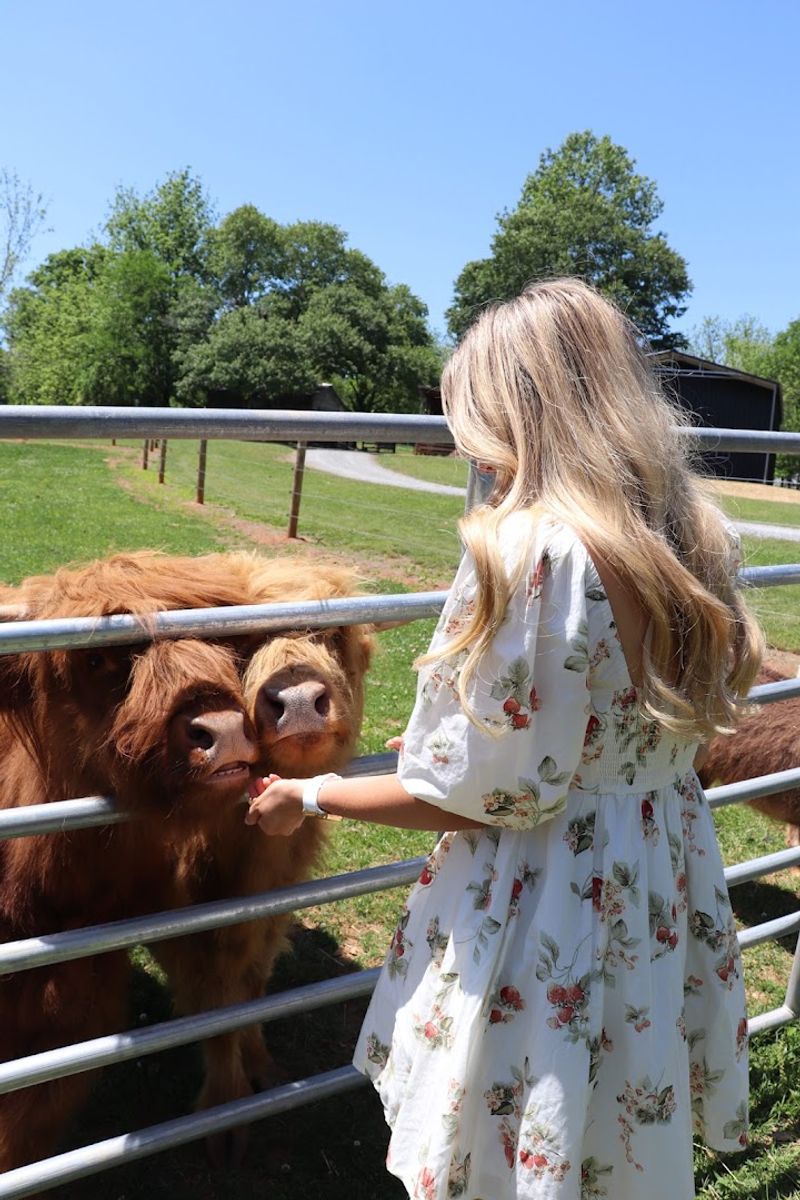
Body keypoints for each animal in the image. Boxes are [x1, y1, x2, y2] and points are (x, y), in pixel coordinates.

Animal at [0, 551, 374, 1172]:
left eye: (334, 634)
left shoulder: (269, 915)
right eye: (244, 644)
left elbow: (248, 991)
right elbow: (212, 1005)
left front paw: (258, 1066)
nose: (298, 701)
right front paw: (225, 1112)